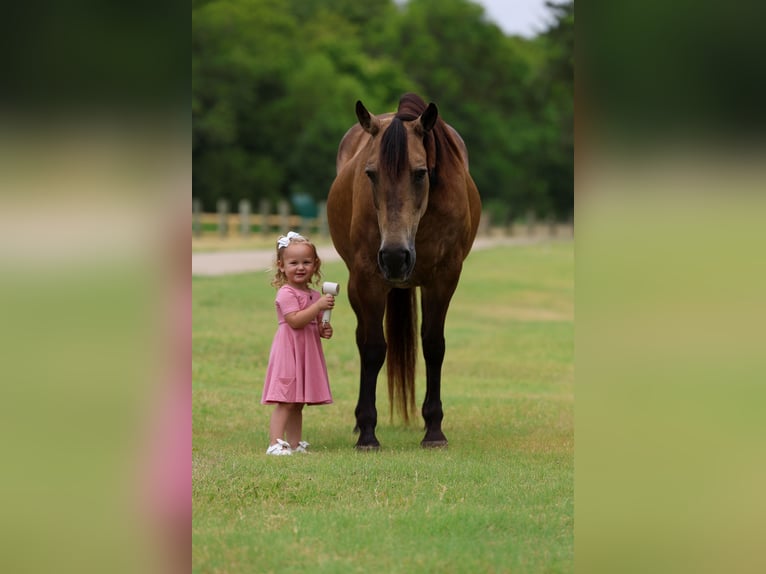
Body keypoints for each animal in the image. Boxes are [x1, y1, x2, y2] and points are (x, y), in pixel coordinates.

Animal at [327, 93, 481, 449]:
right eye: (370, 174)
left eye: (420, 173)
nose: (395, 257)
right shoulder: (368, 279)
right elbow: (373, 349)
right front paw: (368, 434)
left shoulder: (443, 279)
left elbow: (433, 346)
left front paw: (434, 431)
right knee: (362, 339)